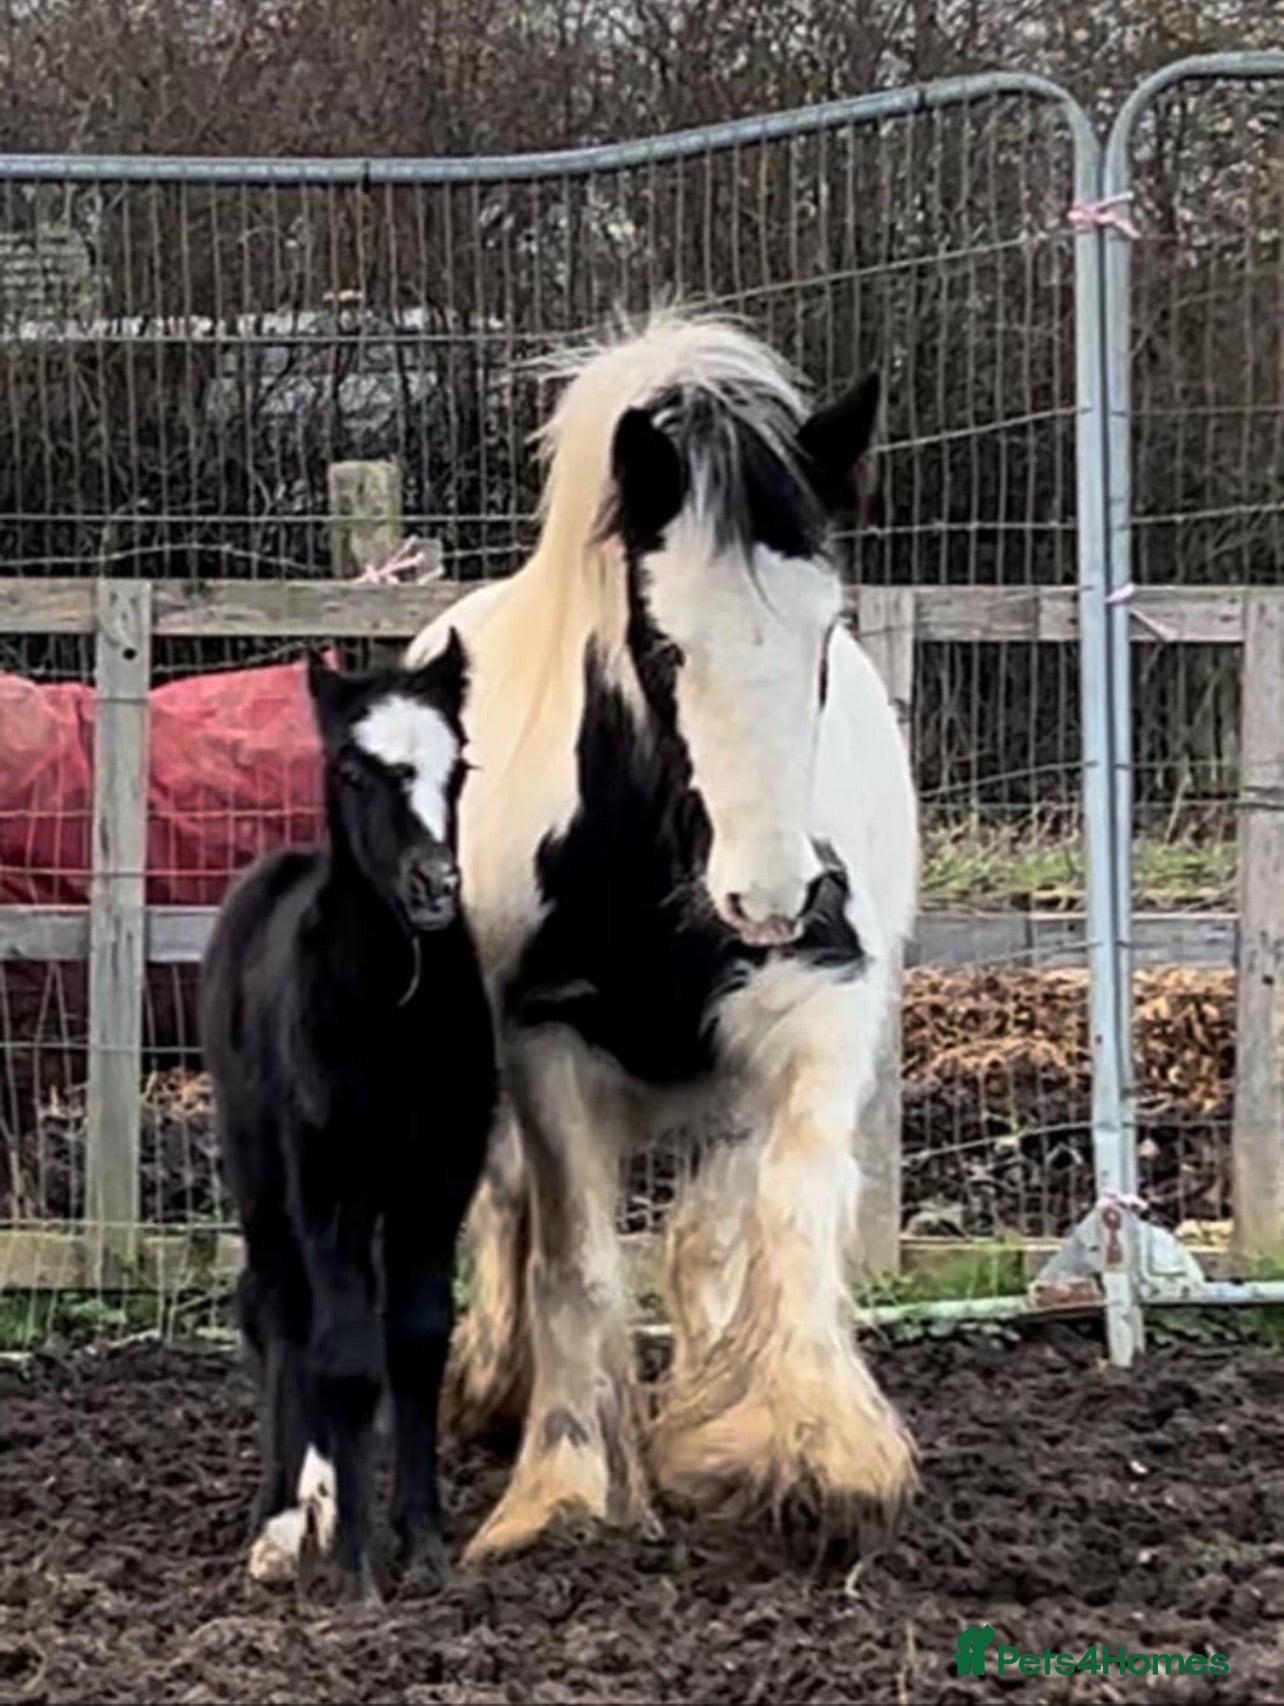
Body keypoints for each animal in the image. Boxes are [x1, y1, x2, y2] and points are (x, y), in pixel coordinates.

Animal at [198, 635, 497, 1599]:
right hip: (260, 1167)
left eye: (460, 766)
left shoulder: (436, 1182)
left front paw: (422, 1542)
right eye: (354, 771)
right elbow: (348, 1357)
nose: (434, 886)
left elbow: (415, 1342)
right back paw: (281, 1523)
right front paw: (360, 1570)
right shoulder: (330, 1181)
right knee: (282, 1313)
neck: (394, 1015)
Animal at [406, 311, 920, 1561]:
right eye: (666, 642)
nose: (776, 892)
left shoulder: (811, 1019)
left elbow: (790, 1216)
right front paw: (560, 1488)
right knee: (508, 1207)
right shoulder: (543, 1046)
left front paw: (815, 1451)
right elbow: (576, 1259)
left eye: (824, 632)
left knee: (706, 1236)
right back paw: (495, 1390)